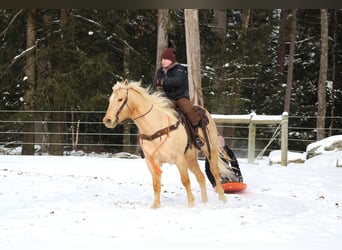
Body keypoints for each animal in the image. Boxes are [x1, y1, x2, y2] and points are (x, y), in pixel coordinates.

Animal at [103, 79, 227, 208]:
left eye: (120, 99)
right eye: (110, 99)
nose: (108, 120)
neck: (156, 125)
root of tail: (205, 112)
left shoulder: (179, 159)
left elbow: (185, 180)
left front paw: (191, 204)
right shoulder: (152, 161)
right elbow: (156, 184)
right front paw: (155, 206)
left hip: (210, 150)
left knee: (215, 172)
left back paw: (222, 199)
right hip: (191, 158)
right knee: (201, 177)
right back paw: (204, 202)